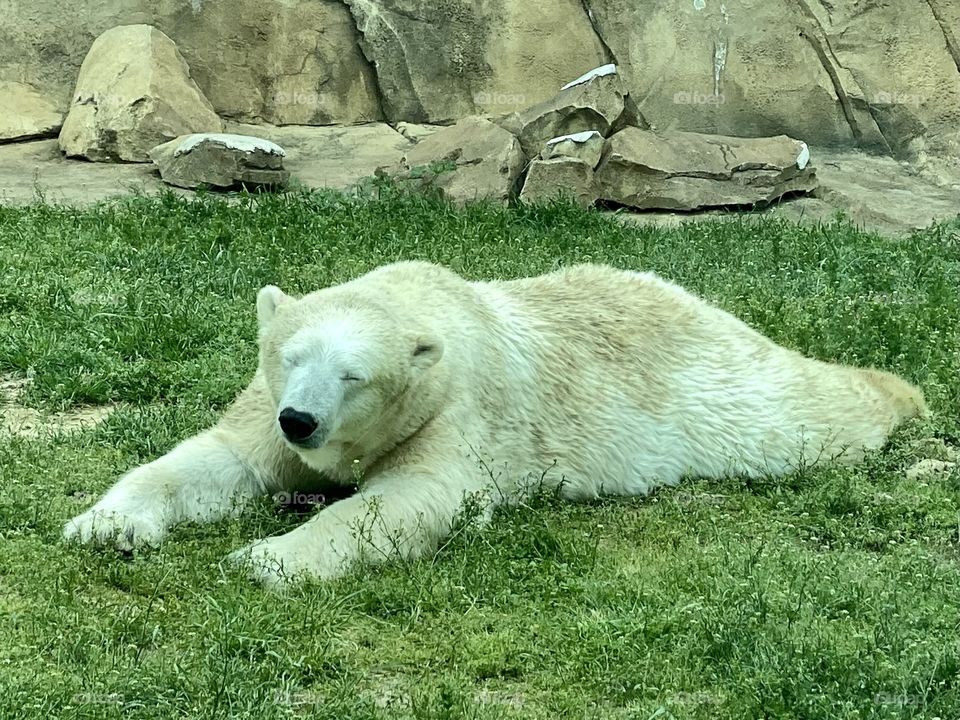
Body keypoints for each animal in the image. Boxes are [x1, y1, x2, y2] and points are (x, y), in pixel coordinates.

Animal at [63, 261, 927, 587]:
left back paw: (898, 392)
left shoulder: (455, 408)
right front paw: (107, 525)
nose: (301, 420)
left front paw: (265, 559)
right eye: (290, 355)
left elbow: (410, 499)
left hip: (714, 394)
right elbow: (220, 459)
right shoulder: (262, 413)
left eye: (353, 374)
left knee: (799, 413)